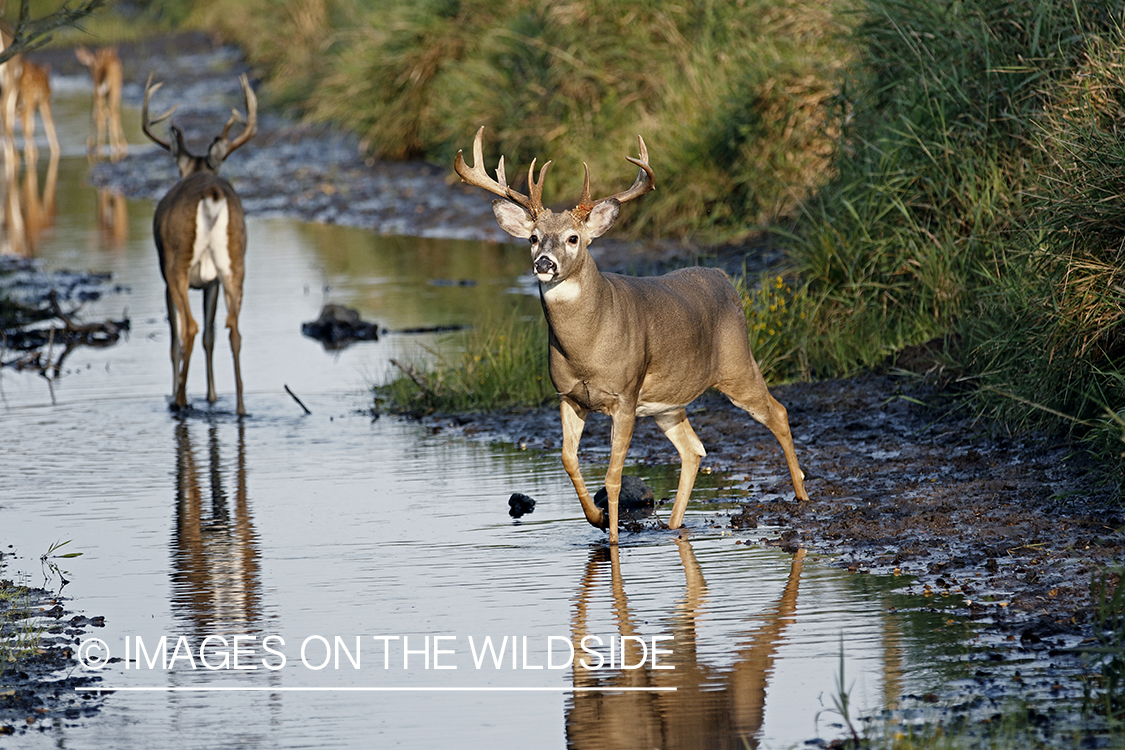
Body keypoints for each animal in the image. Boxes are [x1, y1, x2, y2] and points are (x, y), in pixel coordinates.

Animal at [456, 125, 810, 541]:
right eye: (533, 238)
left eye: (574, 238)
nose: (545, 263)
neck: (586, 350)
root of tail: (723, 277)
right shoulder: (568, 395)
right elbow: (568, 460)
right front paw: (596, 518)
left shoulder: (624, 396)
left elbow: (612, 476)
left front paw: (611, 538)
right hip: (668, 403)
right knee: (693, 449)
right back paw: (673, 525)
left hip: (737, 364)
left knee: (778, 412)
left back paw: (803, 495)